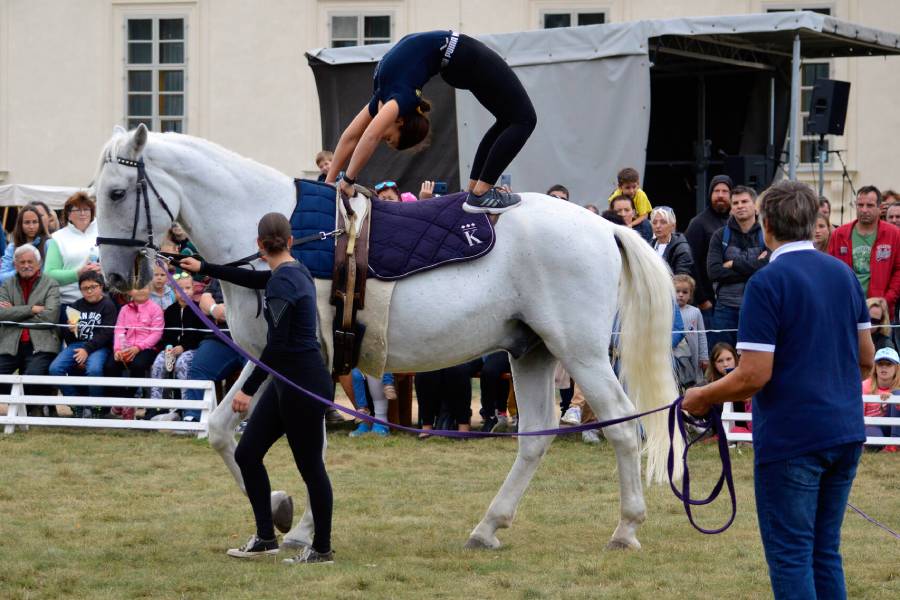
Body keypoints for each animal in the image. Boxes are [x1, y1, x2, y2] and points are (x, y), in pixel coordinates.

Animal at [93, 125, 684, 552]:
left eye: (118, 192)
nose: (118, 278)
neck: (273, 240)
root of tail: (605, 226)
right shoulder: (269, 356)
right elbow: (220, 430)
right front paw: (281, 510)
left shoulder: (308, 359)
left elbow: (309, 443)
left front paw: (303, 528)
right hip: (531, 351)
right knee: (536, 437)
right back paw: (488, 527)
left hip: (579, 354)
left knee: (622, 426)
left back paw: (626, 528)